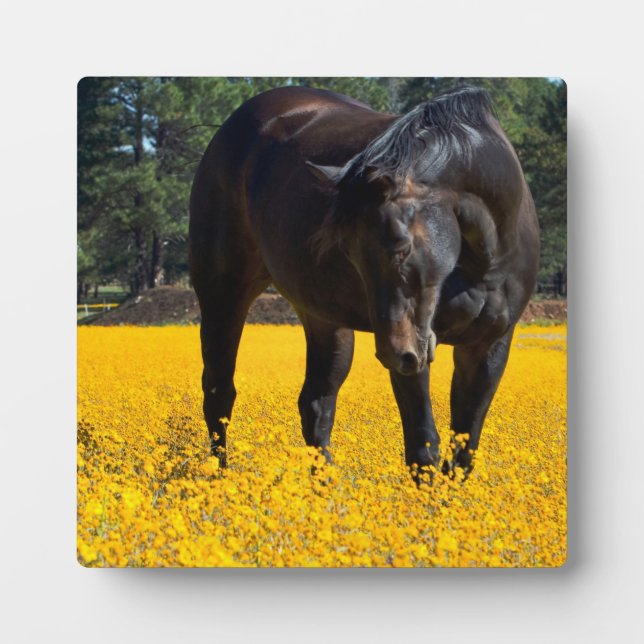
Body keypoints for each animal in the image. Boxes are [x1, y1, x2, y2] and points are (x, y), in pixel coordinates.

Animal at [188, 85, 539, 480]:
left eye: (402, 246)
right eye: (349, 250)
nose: (393, 353)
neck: (482, 259)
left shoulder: (488, 347)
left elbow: (464, 453)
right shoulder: (415, 352)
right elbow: (423, 446)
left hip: (325, 320)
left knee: (316, 403)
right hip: (223, 294)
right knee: (219, 392)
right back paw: (219, 477)